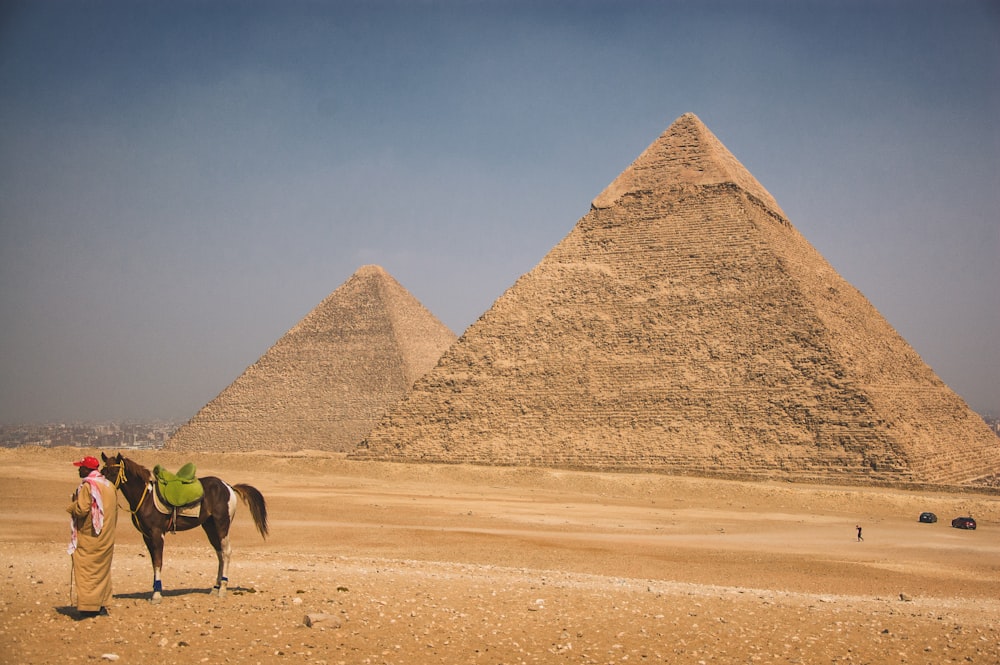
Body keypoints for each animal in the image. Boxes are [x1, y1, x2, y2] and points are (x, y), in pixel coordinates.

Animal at [99, 452, 268, 600]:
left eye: (113, 471)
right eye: (102, 471)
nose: (102, 487)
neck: (145, 497)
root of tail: (228, 486)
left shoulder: (157, 533)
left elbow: (158, 562)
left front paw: (157, 594)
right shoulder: (146, 536)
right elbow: (153, 562)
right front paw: (154, 590)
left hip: (222, 524)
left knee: (226, 552)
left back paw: (223, 589)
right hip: (209, 526)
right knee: (219, 553)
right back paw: (216, 587)